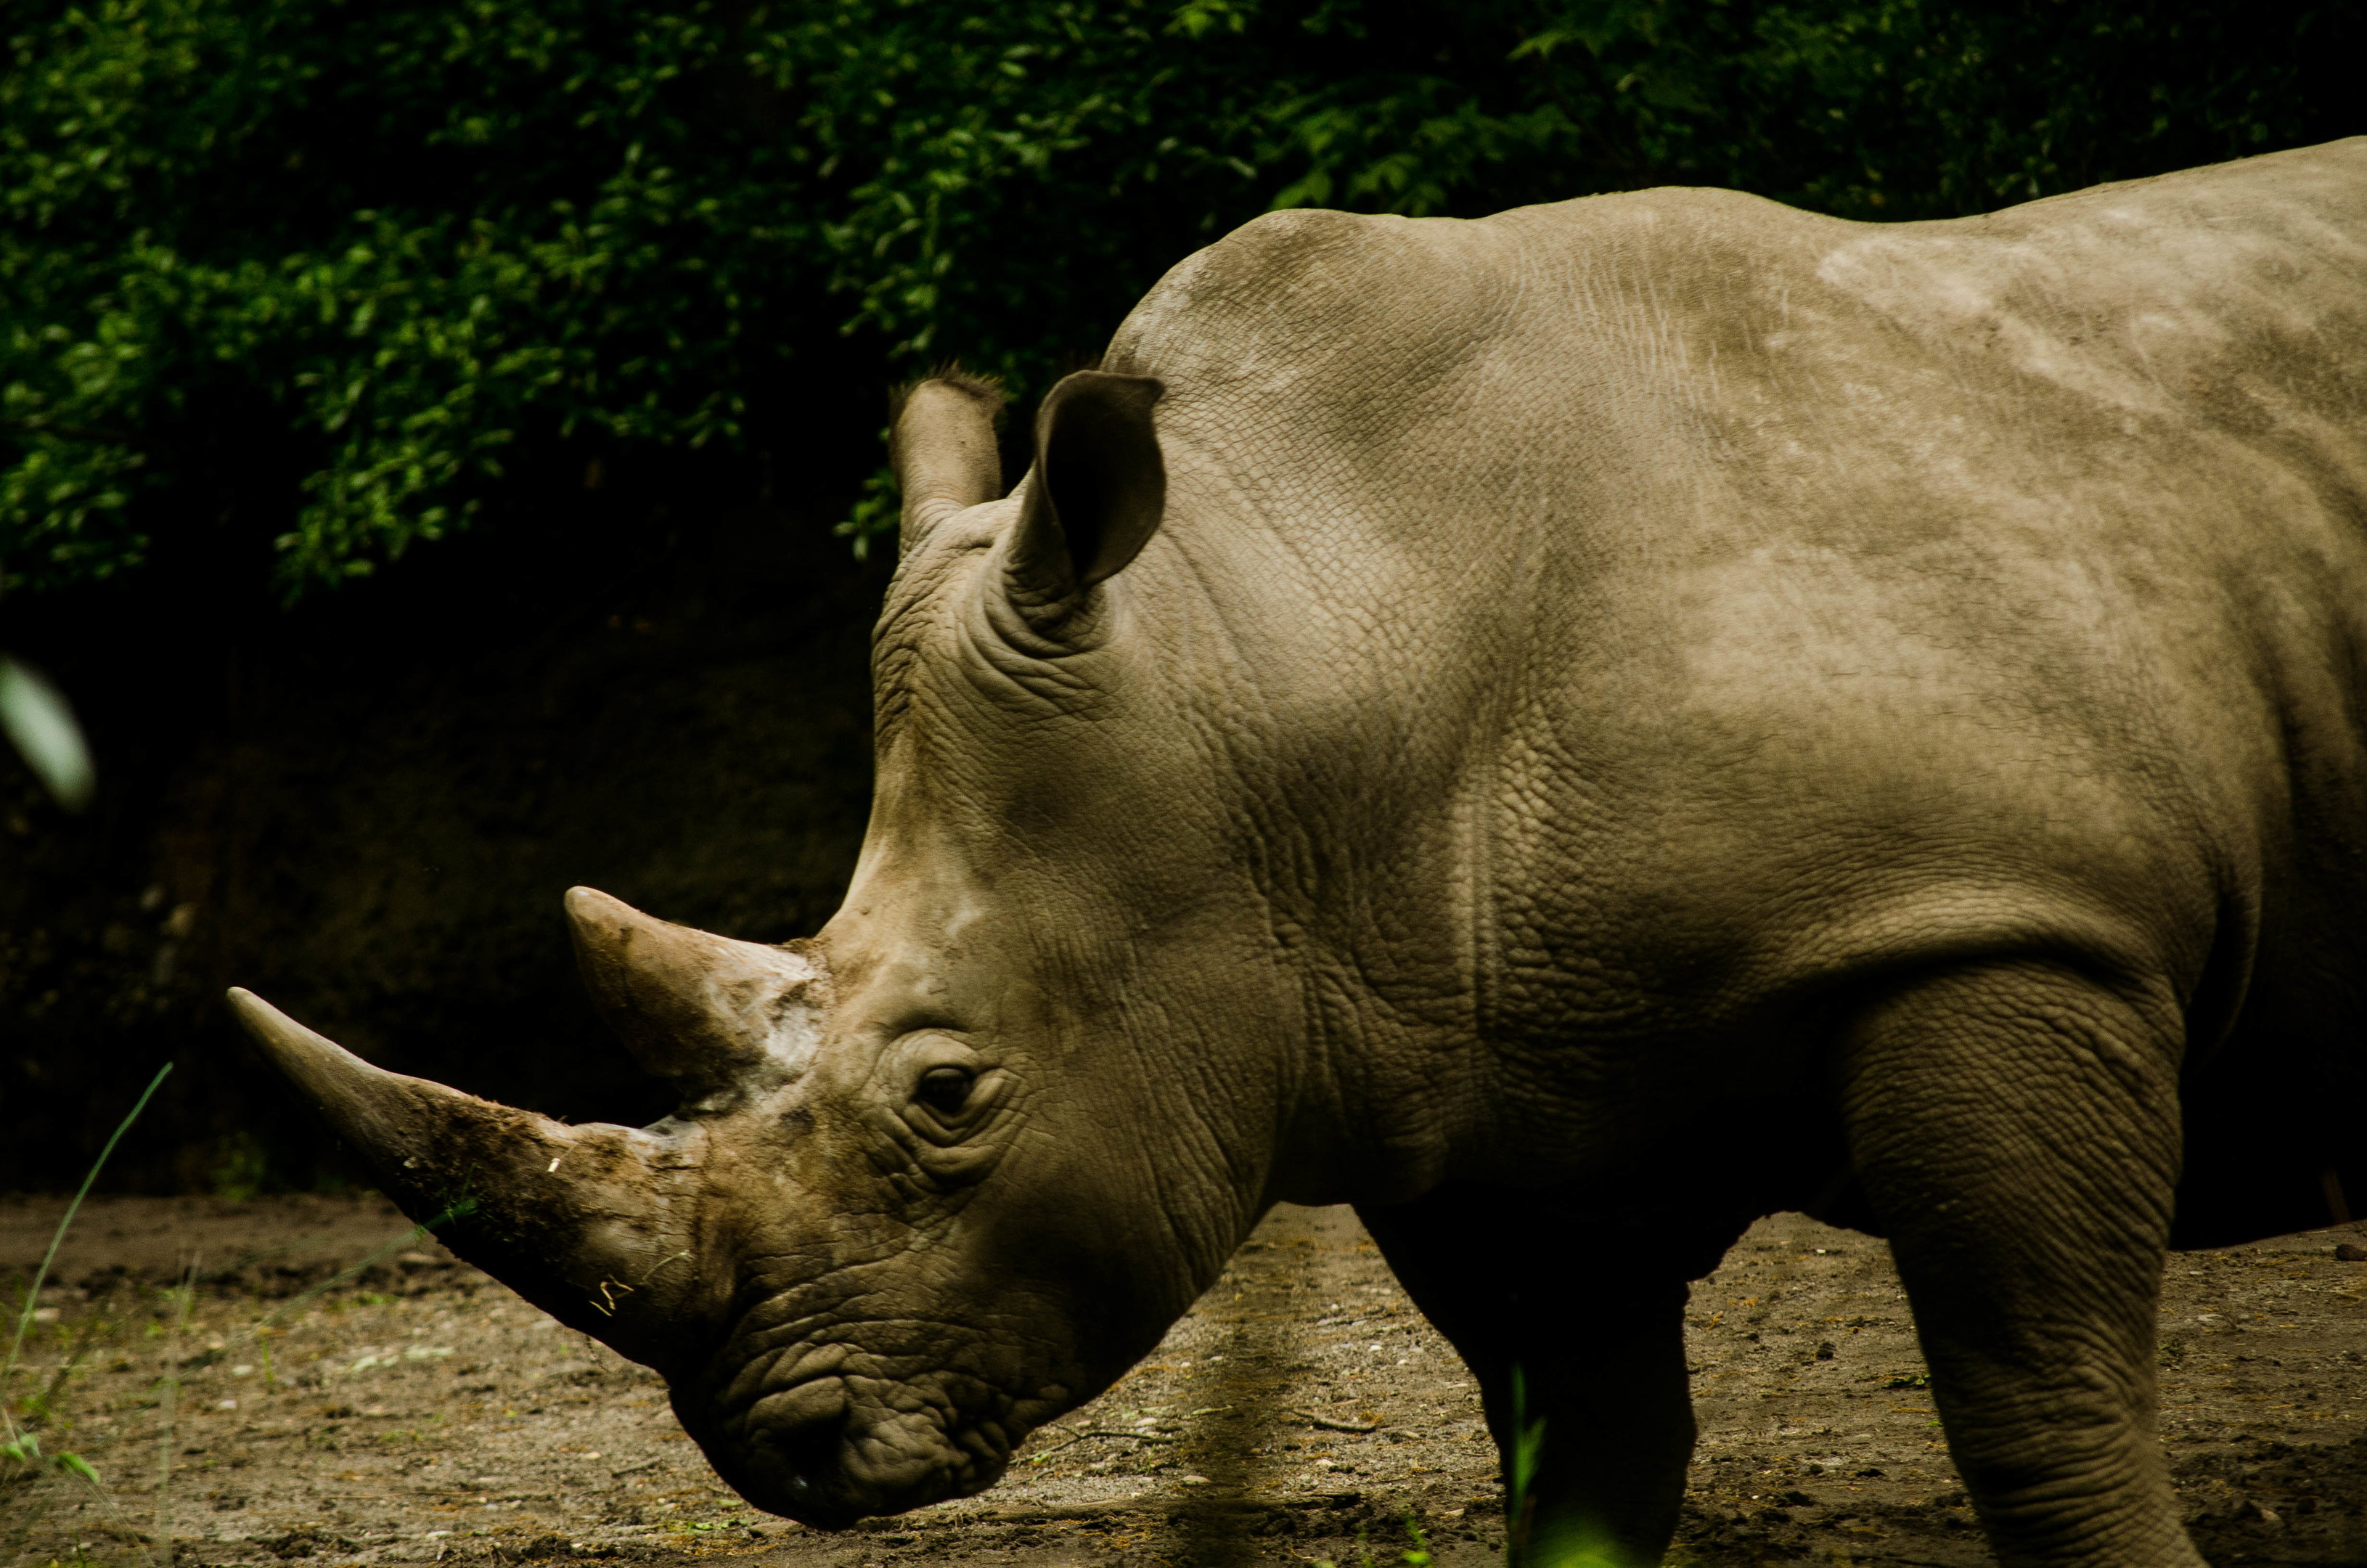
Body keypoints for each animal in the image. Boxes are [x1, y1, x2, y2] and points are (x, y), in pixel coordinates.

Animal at [231, 136, 2367, 1567]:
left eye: (948, 1091)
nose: (789, 1450)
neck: (1294, 661)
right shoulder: (1466, 1057)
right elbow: (1584, 1452)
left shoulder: (2000, 920)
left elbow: (2038, 1403)